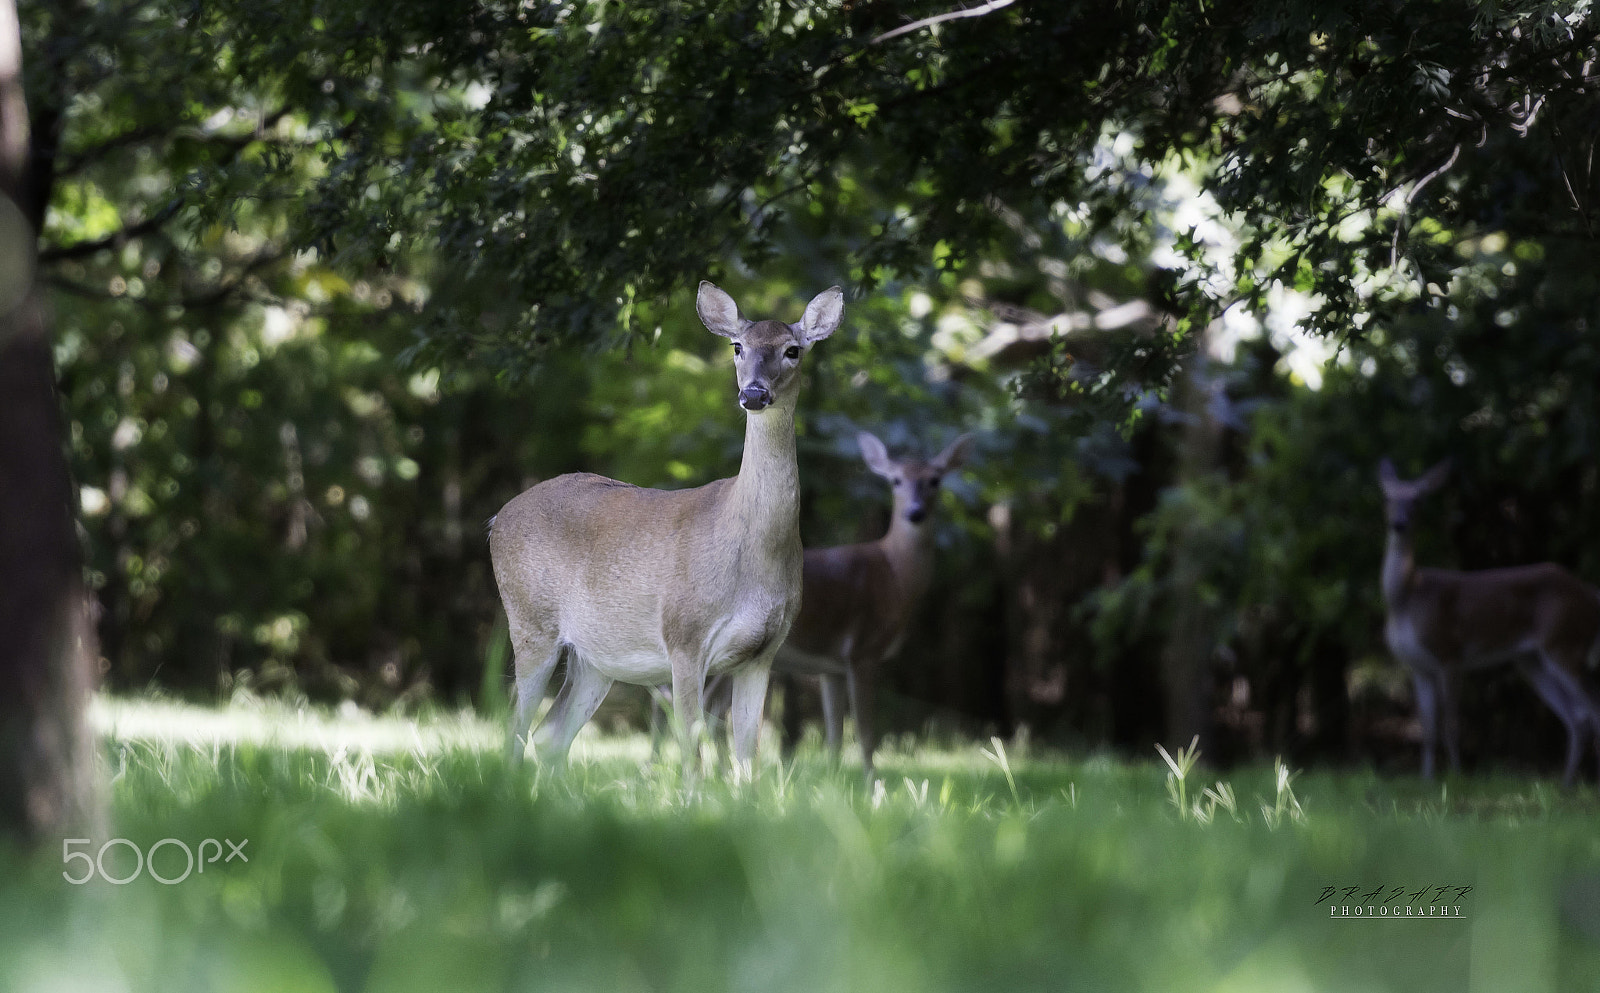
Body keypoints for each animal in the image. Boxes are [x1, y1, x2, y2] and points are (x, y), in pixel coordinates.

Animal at [489, 281, 842, 781]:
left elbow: (747, 761)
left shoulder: (763, 653)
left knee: (550, 734)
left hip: (595, 657)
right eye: (737, 347)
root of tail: (496, 519)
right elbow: (692, 754)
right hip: (529, 621)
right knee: (514, 731)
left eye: (793, 350)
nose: (754, 394)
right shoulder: (684, 636)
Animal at [773, 430, 974, 782]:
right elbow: (866, 733)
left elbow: (835, 735)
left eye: (935, 479)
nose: (915, 512)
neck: (895, 576)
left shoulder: (831, 666)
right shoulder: (862, 650)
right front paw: (871, 784)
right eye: (896, 480)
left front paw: (834, 783)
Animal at [1378, 458, 1600, 786]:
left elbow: (1451, 723)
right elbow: (1427, 728)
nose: (1399, 523)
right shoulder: (1417, 666)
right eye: (1387, 498)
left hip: (1565, 642)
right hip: (1531, 659)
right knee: (1576, 717)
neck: (1409, 598)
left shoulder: (1449, 652)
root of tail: (1589, 594)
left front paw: (1456, 777)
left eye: (1418, 500)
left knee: (1590, 710)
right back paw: (1565, 784)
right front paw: (1426, 782)